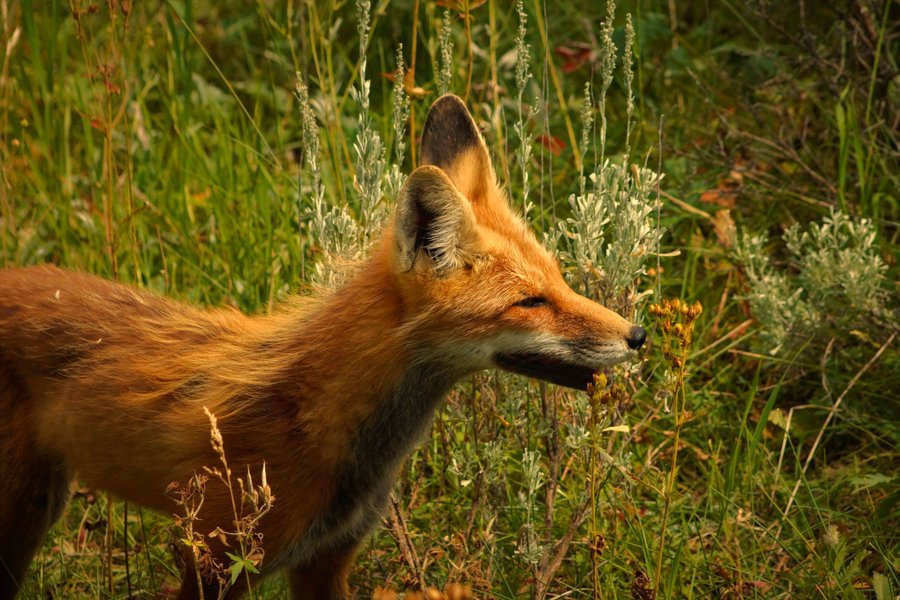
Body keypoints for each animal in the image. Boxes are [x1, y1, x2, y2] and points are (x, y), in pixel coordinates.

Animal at [0, 94, 646, 599]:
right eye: (530, 302)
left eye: (559, 280)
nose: (637, 336)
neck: (314, 413)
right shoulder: (212, 560)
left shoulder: (326, 559)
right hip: (24, 513)